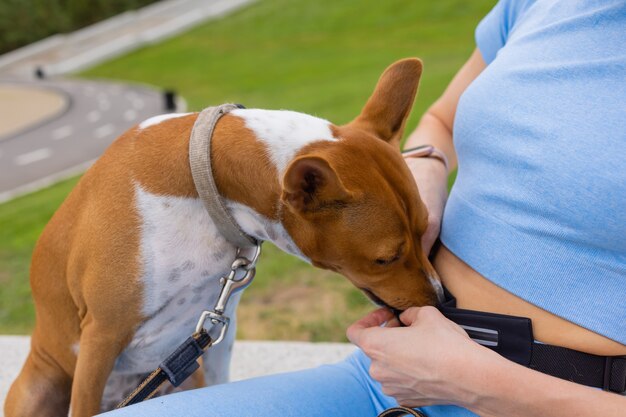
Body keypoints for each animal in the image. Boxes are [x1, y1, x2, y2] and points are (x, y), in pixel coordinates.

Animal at [6, 58, 444, 416]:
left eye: (426, 229)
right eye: (384, 258)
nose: (440, 299)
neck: (205, 184)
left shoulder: (213, 339)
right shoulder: (100, 337)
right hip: (46, 382)